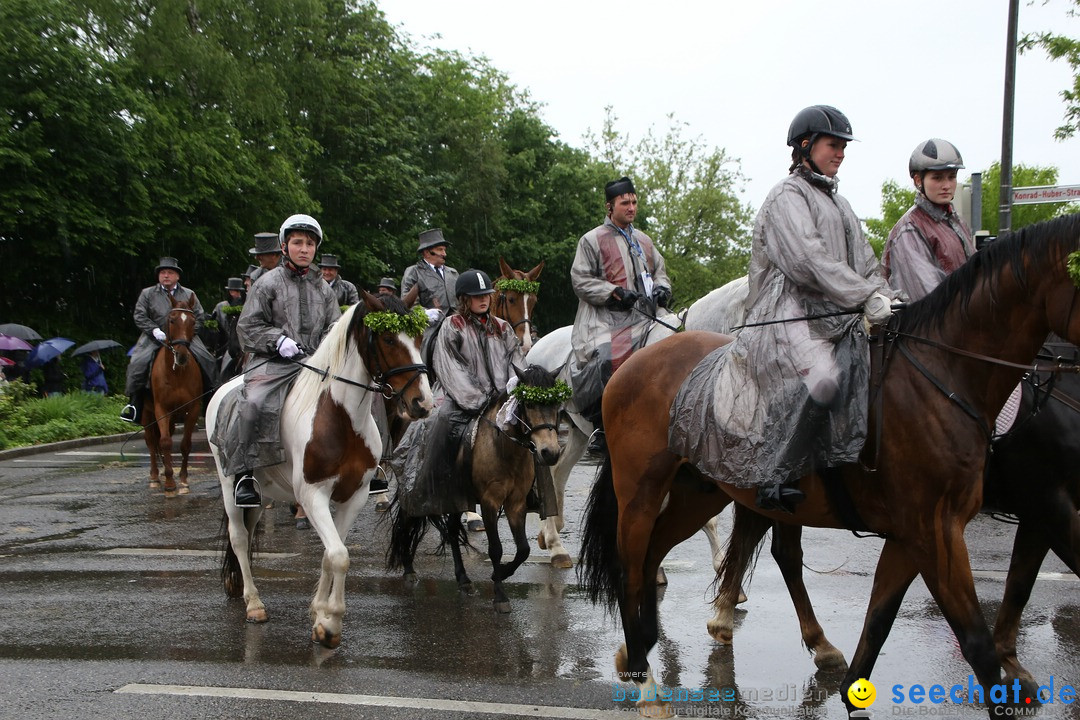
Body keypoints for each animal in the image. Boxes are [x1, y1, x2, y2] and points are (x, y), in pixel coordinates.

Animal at [142, 293, 203, 496]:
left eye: (193, 321)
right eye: (172, 319)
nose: (182, 355)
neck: (177, 374)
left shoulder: (192, 409)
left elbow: (185, 445)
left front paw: (183, 481)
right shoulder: (162, 409)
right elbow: (166, 442)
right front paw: (169, 483)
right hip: (147, 414)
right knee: (151, 442)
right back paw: (155, 477)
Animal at [206, 289, 434, 651]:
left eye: (418, 337)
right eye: (387, 338)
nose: (422, 403)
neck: (339, 418)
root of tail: (226, 389)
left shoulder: (354, 496)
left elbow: (332, 554)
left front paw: (320, 614)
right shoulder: (313, 496)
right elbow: (339, 555)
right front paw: (330, 625)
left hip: (261, 492)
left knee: (250, 530)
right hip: (229, 484)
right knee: (239, 538)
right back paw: (254, 604)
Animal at [384, 367, 561, 613]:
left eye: (556, 405)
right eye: (530, 404)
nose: (550, 452)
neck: (504, 448)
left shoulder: (516, 503)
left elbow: (523, 549)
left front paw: (502, 572)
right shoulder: (489, 502)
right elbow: (495, 548)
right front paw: (500, 595)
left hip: (455, 498)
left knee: (450, 530)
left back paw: (463, 579)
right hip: (419, 494)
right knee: (406, 522)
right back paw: (409, 568)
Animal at [578, 215, 1080, 720]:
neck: (942, 377)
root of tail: (634, 362)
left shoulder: (917, 535)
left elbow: (880, 623)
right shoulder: (950, 527)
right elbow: (979, 639)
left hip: (699, 493)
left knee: (664, 555)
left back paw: (646, 648)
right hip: (640, 493)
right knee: (633, 565)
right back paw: (646, 679)